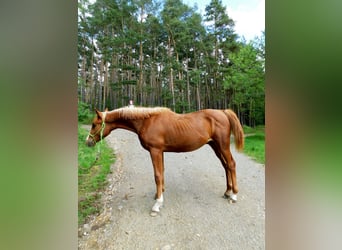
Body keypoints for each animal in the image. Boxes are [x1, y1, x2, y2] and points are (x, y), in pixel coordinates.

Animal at [87, 106, 244, 215]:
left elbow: (157, 175)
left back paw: (234, 195)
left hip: (223, 145)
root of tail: (223, 112)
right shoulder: (160, 152)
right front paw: (159, 195)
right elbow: (161, 172)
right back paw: (227, 191)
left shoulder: (155, 151)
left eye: (94, 124)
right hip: (215, 146)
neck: (147, 121)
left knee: (231, 164)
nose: (88, 142)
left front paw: (157, 204)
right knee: (225, 166)